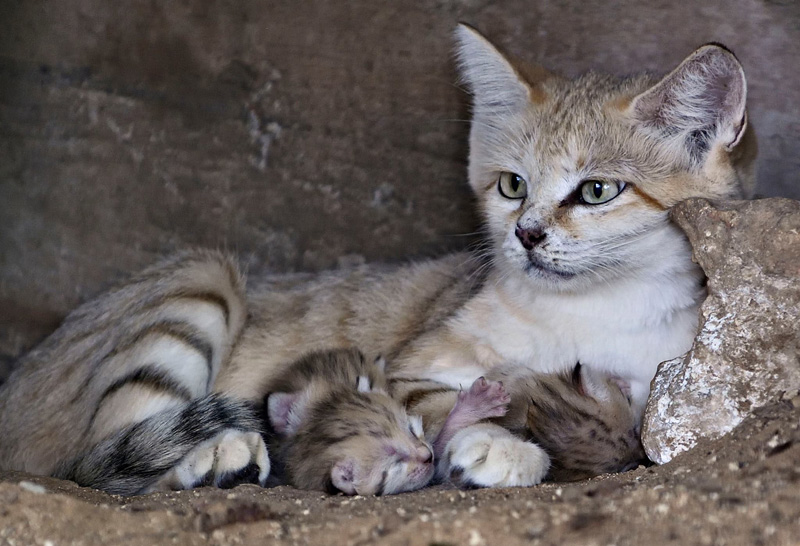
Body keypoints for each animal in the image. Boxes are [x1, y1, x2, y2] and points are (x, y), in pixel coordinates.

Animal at [0, 25, 756, 490]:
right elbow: (442, 398)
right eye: (513, 186)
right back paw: (217, 453)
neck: (599, 307)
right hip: (199, 278)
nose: (527, 235)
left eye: (598, 190)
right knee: (96, 462)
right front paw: (497, 440)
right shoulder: (411, 363)